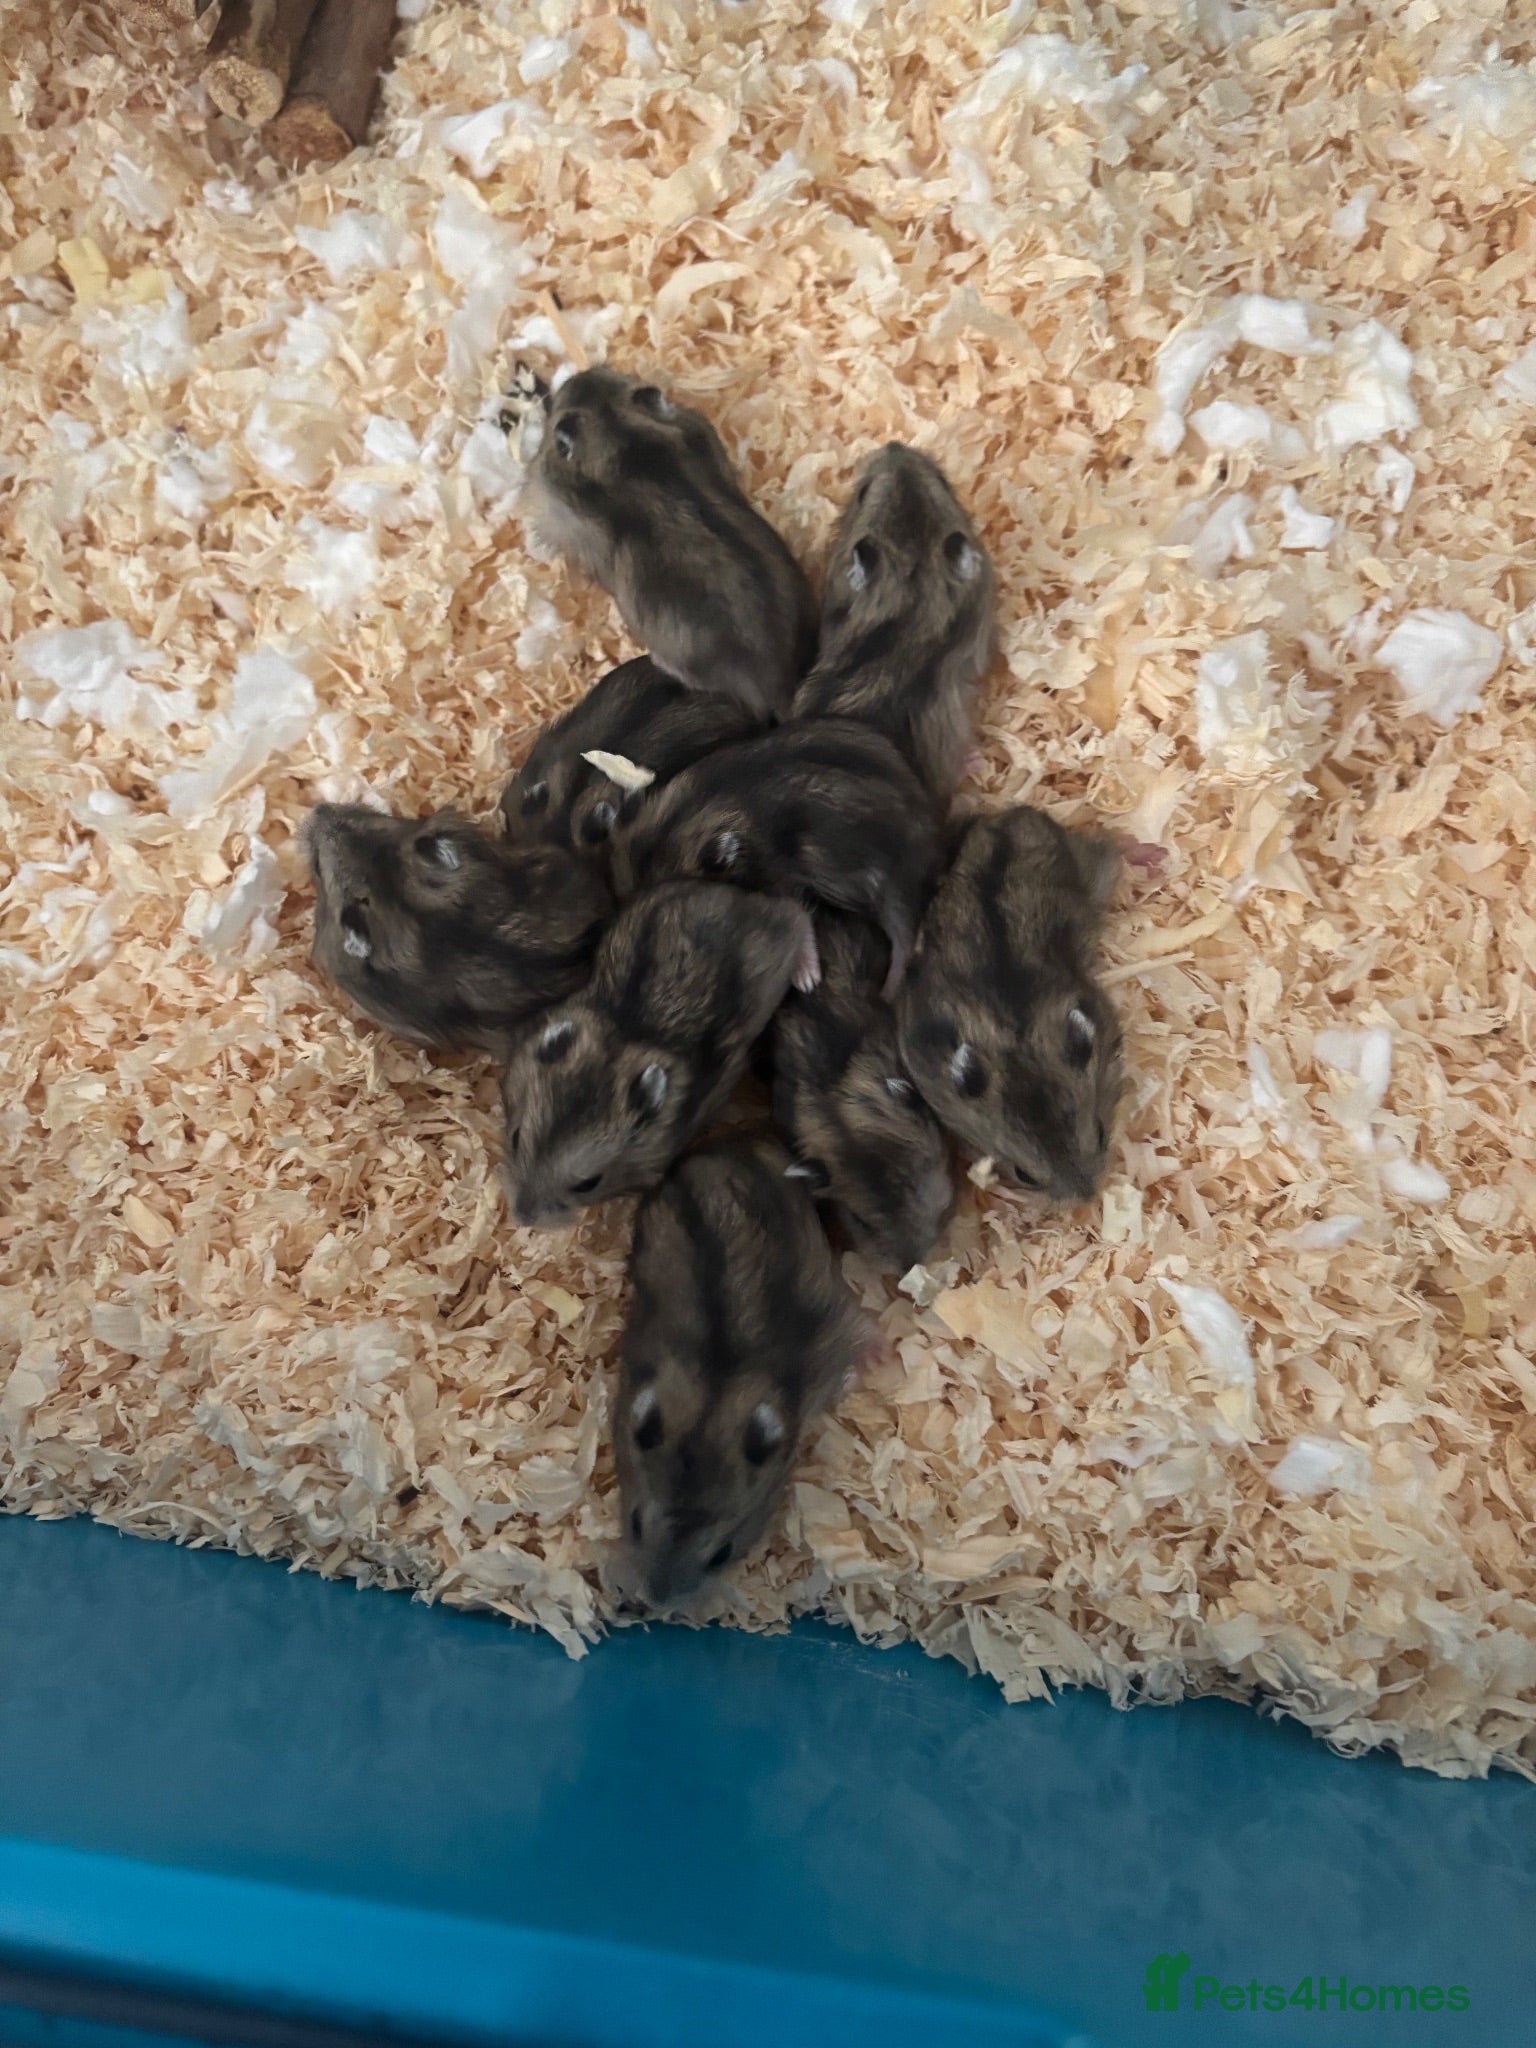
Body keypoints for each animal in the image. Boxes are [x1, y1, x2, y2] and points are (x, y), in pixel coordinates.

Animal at [500, 882, 816, 1226]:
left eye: (588, 1184)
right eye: (515, 1137)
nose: (522, 1217)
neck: (624, 1042)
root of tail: (737, 896)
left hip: (776, 953)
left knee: (794, 913)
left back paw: (808, 978)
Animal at [895, 805, 1125, 1202]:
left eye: (1100, 1134)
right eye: (1024, 1175)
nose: (1087, 1198)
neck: (1016, 1047)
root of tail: (1013, 818)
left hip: (1091, 868)